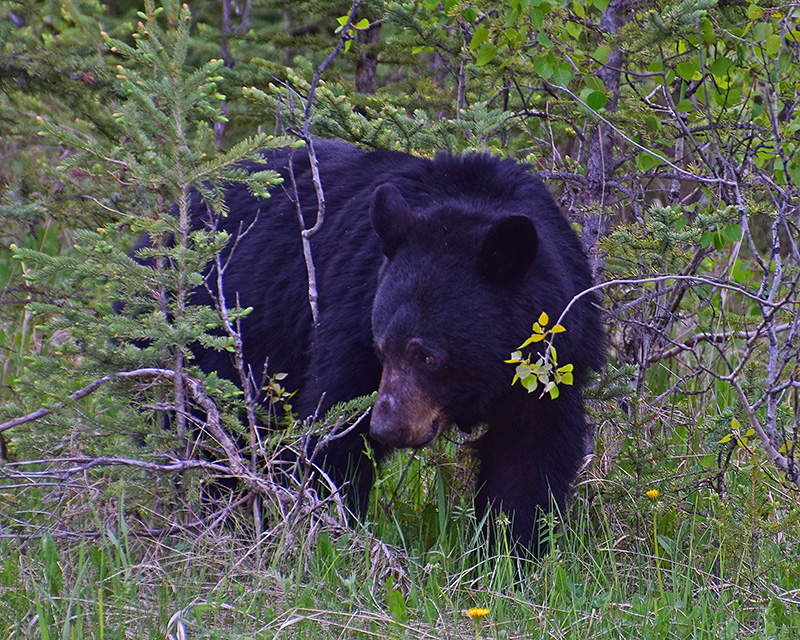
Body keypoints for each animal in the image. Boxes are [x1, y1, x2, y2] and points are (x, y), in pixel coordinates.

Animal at [189, 140, 600, 556]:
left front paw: (513, 551)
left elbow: (529, 455)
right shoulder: (354, 311)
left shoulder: (551, 365)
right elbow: (335, 429)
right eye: (382, 347)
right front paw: (331, 532)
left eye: (430, 357)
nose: (386, 428)